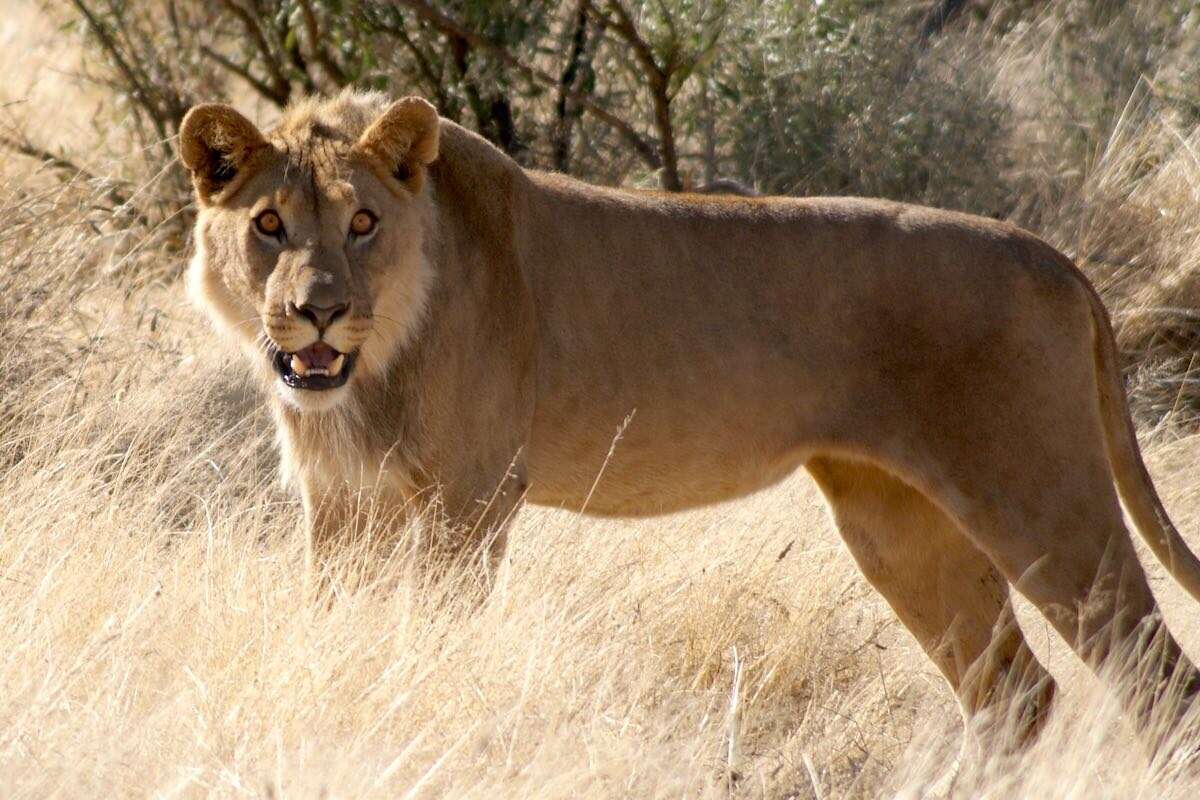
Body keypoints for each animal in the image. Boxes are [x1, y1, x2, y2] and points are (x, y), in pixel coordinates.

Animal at [177, 92, 1200, 753]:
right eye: (268, 224)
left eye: (362, 223)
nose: (315, 311)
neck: (375, 367)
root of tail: (1056, 259)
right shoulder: (342, 505)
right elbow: (331, 620)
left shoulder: (472, 501)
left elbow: (433, 637)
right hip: (899, 523)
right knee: (1015, 695)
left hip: (1038, 499)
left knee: (1158, 684)